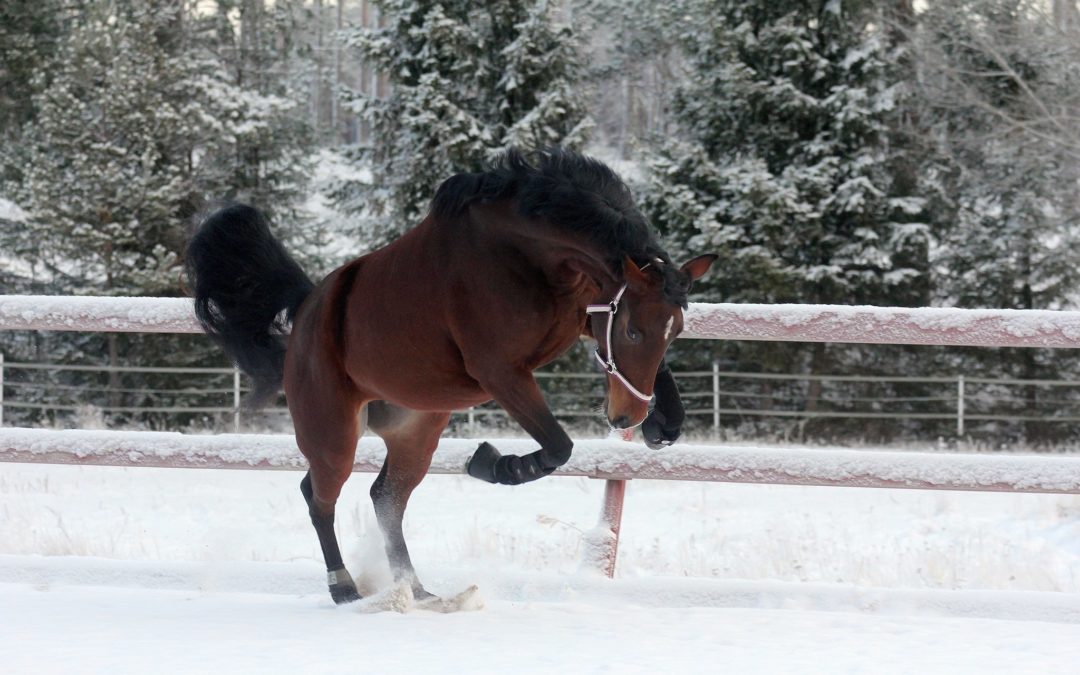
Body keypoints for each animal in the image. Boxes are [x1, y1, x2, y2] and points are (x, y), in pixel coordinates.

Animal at [185, 149, 717, 604]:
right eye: (631, 329)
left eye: (675, 329)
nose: (627, 417)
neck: (529, 255)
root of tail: (305, 310)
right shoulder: (500, 370)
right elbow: (557, 447)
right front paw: (493, 463)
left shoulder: (585, 316)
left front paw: (666, 424)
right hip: (333, 434)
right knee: (319, 498)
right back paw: (345, 587)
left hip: (416, 429)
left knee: (385, 498)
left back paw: (416, 590)